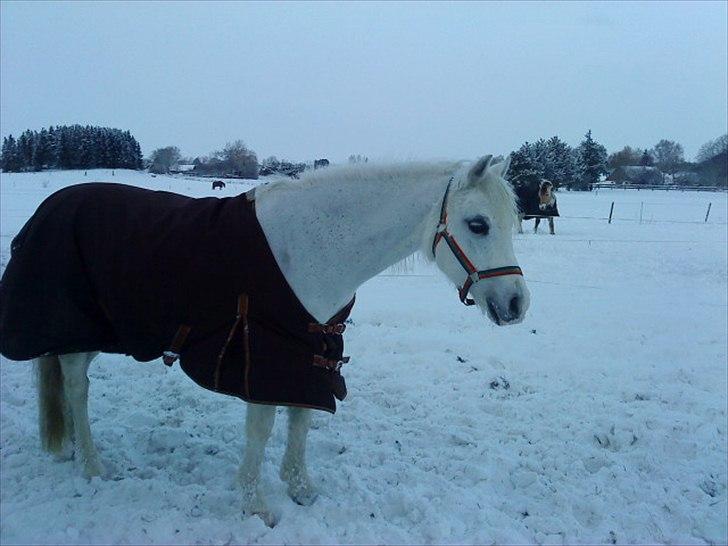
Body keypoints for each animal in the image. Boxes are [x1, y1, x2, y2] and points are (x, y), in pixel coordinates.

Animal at [0, 154, 529, 527]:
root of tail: (49, 208)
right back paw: (91, 466)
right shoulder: (262, 350)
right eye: (477, 224)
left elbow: (301, 422)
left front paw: (300, 488)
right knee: (77, 390)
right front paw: (256, 505)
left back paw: (72, 451)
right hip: (76, 333)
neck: (313, 246)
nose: (517, 304)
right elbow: (262, 429)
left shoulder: (310, 351)